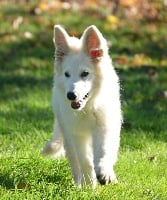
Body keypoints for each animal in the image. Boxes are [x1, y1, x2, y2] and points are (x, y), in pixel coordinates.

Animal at [42, 25, 121, 188]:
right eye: (67, 74)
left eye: (85, 73)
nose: (71, 95)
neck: (87, 109)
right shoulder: (77, 133)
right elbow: (84, 160)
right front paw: (89, 185)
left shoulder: (104, 127)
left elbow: (103, 151)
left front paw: (104, 173)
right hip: (66, 132)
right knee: (74, 160)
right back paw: (79, 183)